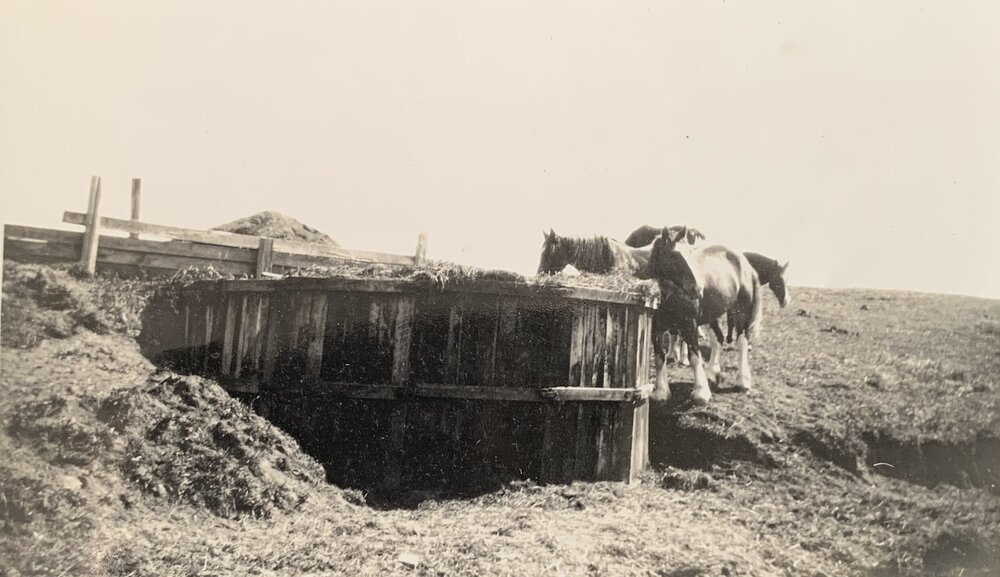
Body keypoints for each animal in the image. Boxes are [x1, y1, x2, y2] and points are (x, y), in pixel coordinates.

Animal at [648, 226, 763, 404]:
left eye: (690, 252)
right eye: (674, 255)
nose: (698, 289)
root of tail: (744, 262)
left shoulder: (690, 324)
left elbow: (695, 356)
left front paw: (701, 392)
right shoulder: (656, 328)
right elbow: (660, 357)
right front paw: (661, 392)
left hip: (741, 312)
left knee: (742, 342)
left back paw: (742, 381)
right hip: (712, 316)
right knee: (718, 339)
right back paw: (713, 372)